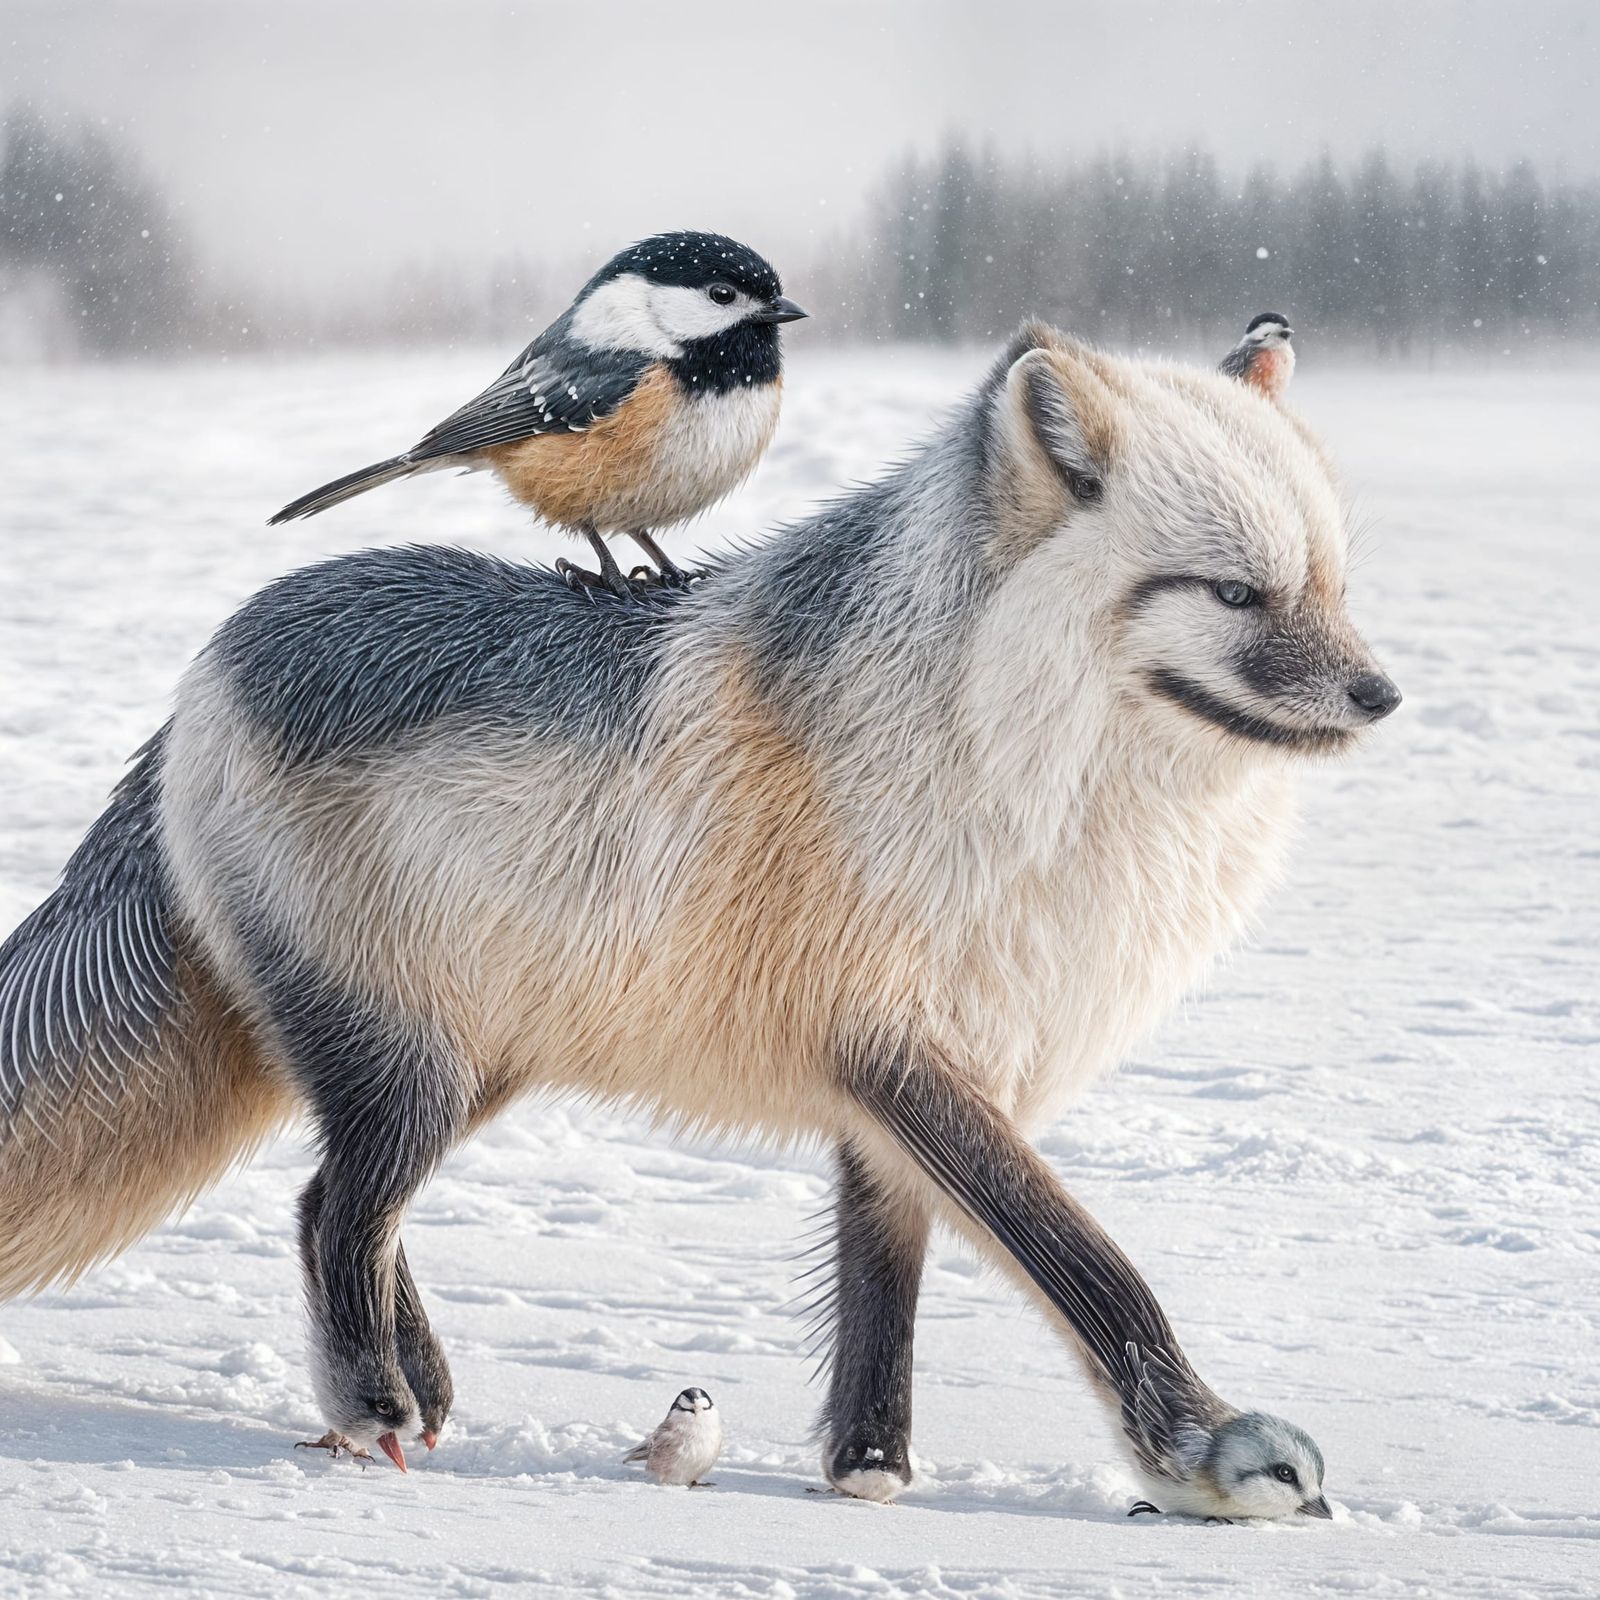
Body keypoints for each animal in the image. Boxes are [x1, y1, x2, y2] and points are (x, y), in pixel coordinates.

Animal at [0, 320, 1396, 1515]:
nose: (1381, 697)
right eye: (1234, 595)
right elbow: (1083, 1259)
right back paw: (375, 1401)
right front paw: (1202, 1453)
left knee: (330, 1204)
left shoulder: (901, 1085)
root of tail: (203, 668)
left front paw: (868, 1471)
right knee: (339, 1214)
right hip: (410, 1069)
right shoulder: (895, 1045)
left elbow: (885, 1288)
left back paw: (422, 1389)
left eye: (1332, 585)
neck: (1002, 769)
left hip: (480, 1064)